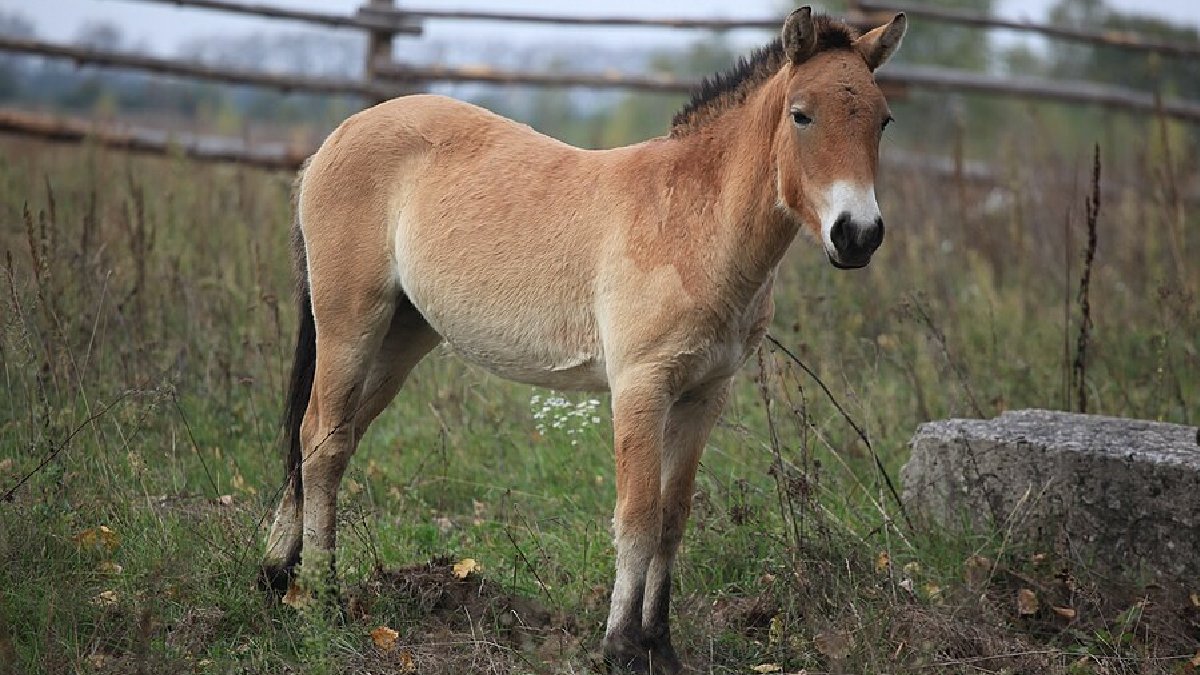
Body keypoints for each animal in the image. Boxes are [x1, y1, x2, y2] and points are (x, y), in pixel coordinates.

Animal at [260, 7, 906, 672]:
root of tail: (336, 138)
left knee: (330, 437)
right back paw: (321, 599)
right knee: (323, 441)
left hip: (401, 339)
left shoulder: (705, 394)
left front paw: (660, 645)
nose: (857, 235)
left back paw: (277, 574)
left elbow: (673, 517)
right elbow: (638, 516)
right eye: (801, 114)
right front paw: (620, 646)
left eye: (883, 119)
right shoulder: (641, 387)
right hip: (350, 323)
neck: (690, 223)